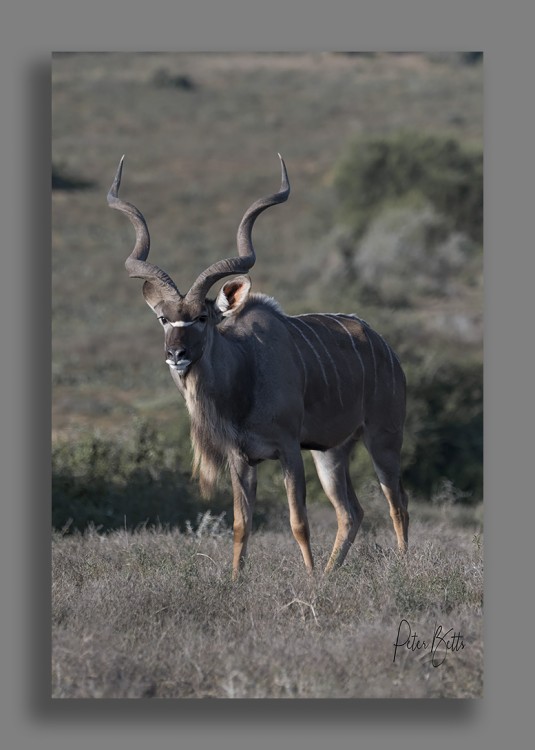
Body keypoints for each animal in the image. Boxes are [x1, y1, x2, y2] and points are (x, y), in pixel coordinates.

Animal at [109, 151, 410, 576]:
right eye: (164, 319)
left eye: (203, 317)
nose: (176, 355)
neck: (244, 375)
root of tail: (386, 349)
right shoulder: (241, 458)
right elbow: (241, 523)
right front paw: (237, 580)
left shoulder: (288, 450)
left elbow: (298, 521)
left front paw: (309, 581)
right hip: (331, 452)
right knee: (352, 512)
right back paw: (332, 574)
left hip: (382, 437)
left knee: (397, 503)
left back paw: (400, 569)